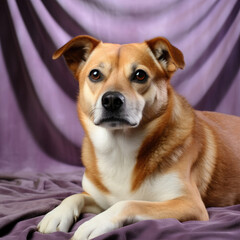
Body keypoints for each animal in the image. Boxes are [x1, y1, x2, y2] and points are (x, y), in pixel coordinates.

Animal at [37, 35, 240, 240]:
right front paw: (56, 215)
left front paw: (94, 224)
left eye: (140, 75)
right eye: (95, 74)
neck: (119, 147)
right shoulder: (99, 199)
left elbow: (128, 203)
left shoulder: (190, 203)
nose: (111, 100)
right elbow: (74, 196)